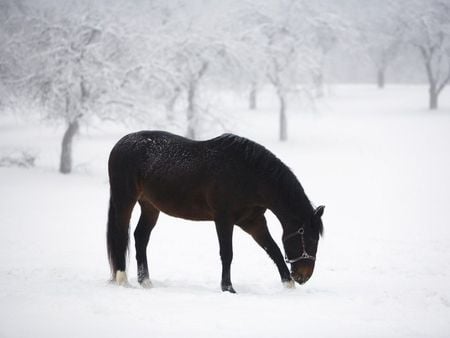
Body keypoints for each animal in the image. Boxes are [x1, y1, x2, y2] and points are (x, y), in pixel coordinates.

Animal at [106, 131, 324, 292]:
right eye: (311, 239)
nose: (303, 276)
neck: (248, 175)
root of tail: (120, 144)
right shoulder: (223, 219)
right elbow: (227, 253)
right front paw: (228, 288)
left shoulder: (253, 221)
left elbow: (273, 249)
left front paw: (288, 285)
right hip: (125, 200)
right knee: (121, 235)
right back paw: (122, 279)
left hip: (150, 206)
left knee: (140, 237)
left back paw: (146, 281)